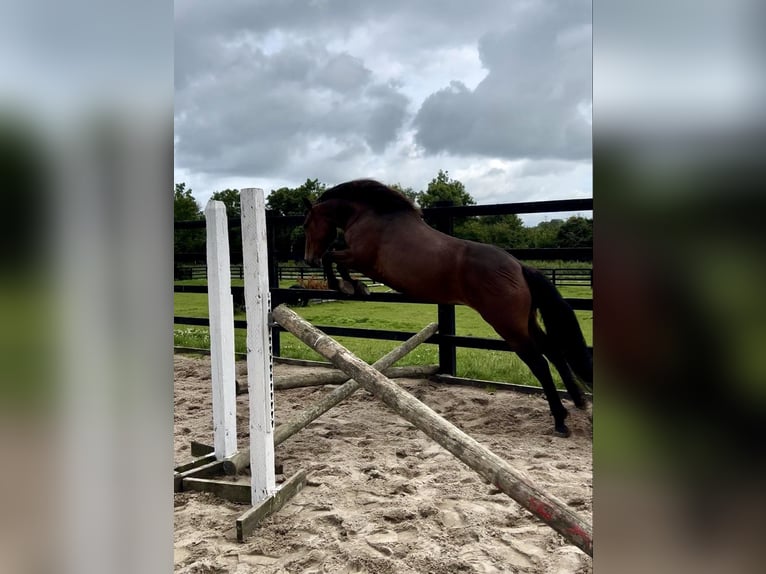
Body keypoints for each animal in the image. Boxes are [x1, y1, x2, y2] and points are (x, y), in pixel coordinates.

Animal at [304, 180, 592, 436]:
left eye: (307, 223)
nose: (307, 259)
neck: (372, 217)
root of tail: (520, 267)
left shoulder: (359, 258)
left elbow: (332, 256)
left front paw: (347, 286)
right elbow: (335, 256)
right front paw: (355, 286)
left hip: (509, 327)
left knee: (540, 363)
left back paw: (560, 421)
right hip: (527, 323)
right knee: (554, 351)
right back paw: (578, 402)